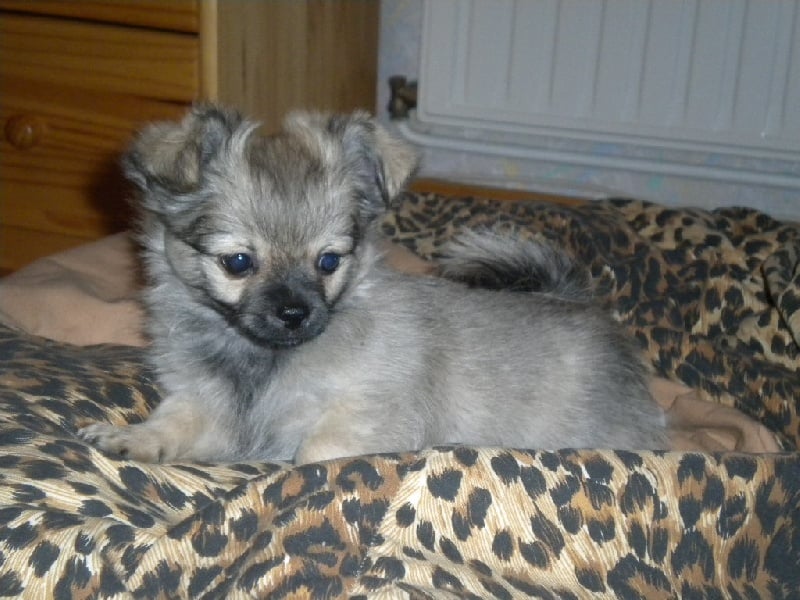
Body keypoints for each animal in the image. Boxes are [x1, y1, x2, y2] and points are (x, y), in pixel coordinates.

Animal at [79, 105, 668, 463]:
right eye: (239, 263)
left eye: (329, 261)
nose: (294, 313)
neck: (261, 363)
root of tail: (578, 300)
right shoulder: (207, 406)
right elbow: (173, 425)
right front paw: (133, 437)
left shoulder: (365, 414)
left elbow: (312, 455)